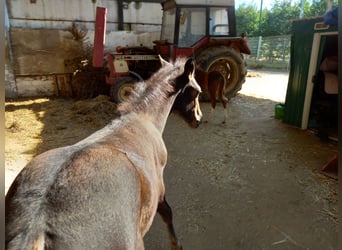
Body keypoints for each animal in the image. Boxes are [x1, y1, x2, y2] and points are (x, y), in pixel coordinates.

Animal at [5, 56, 202, 250]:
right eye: (197, 91)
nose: (198, 120)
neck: (142, 119)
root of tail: (36, 227)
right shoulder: (159, 190)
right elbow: (168, 212)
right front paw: (177, 244)